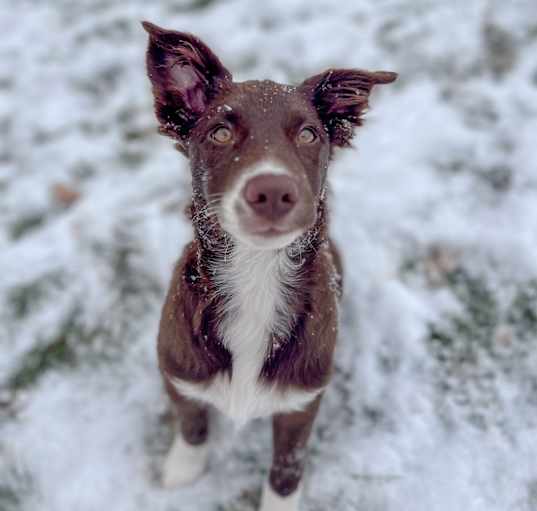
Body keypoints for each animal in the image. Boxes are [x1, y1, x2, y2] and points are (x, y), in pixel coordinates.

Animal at [144, 21, 396, 511]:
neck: (256, 276)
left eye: (309, 135)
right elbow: (192, 422)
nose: (274, 192)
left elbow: (286, 466)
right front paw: (182, 470)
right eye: (220, 133)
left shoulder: (302, 404)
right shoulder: (176, 371)